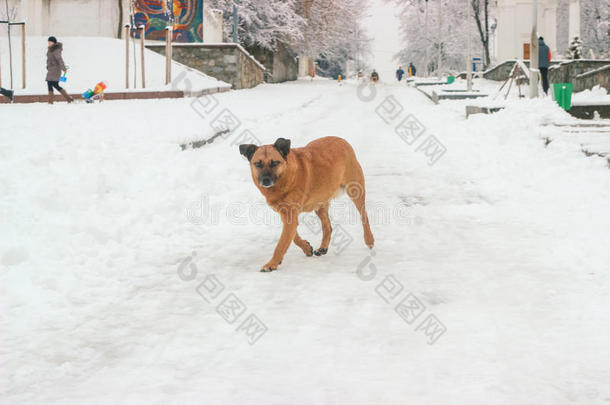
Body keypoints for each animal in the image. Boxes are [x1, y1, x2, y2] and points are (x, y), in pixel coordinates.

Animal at [239, 136, 372, 272]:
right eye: (257, 164)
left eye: (275, 163)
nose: (265, 180)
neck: (286, 178)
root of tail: (342, 140)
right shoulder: (286, 215)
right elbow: (292, 238)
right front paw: (306, 248)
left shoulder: (290, 217)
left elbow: (281, 244)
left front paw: (272, 264)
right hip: (320, 204)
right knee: (328, 227)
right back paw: (323, 247)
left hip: (355, 191)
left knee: (364, 216)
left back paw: (369, 240)